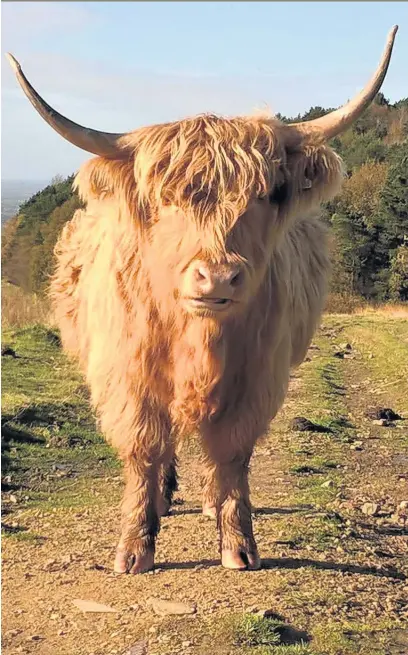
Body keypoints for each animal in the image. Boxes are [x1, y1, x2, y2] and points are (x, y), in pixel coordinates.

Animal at [7, 26, 398, 576]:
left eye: (266, 195)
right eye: (166, 199)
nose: (216, 277)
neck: (196, 337)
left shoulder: (256, 379)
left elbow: (232, 455)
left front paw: (238, 545)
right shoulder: (128, 376)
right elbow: (144, 450)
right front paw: (135, 549)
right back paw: (163, 500)